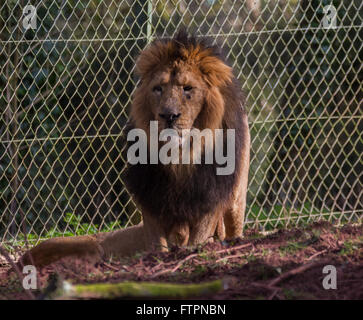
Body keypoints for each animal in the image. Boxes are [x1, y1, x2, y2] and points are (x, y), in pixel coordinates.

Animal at [17, 31, 250, 268]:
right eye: (158, 89)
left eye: (187, 89)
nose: (169, 115)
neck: (180, 157)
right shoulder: (150, 196)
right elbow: (157, 241)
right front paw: (160, 258)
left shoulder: (210, 195)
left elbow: (199, 236)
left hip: (236, 199)